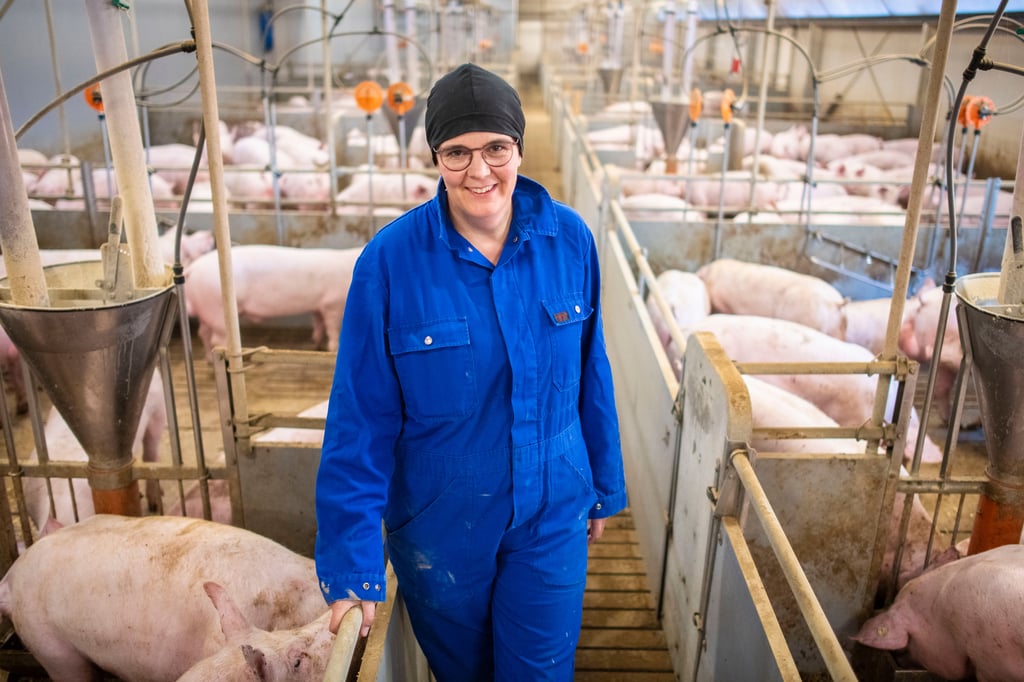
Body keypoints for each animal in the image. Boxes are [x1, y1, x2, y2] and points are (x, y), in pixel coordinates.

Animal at [183, 244, 363, 359]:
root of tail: (193, 268)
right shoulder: (333, 304)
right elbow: (333, 329)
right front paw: (333, 350)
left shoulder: (318, 306)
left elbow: (319, 324)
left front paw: (316, 344)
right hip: (217, 308)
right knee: (216, 339)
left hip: (207, 309)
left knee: (203, 333)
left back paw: (208, 360)